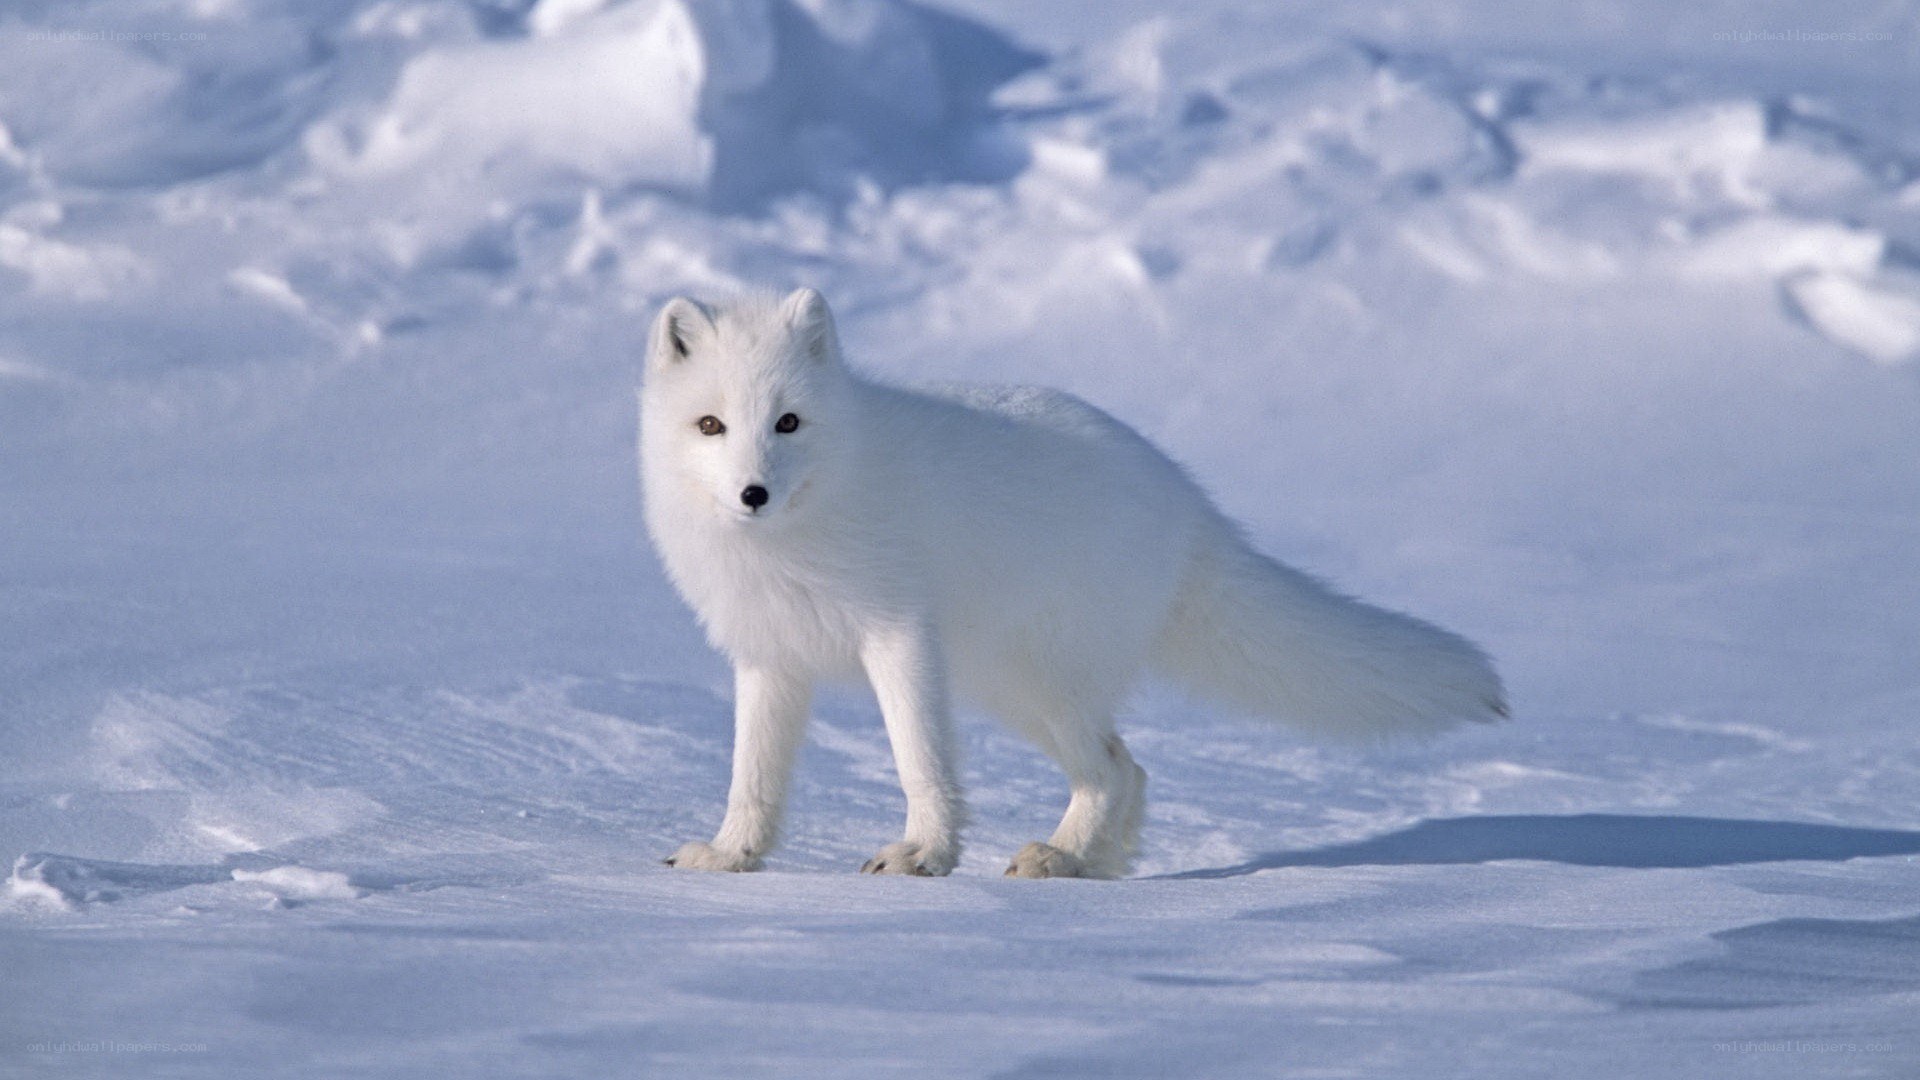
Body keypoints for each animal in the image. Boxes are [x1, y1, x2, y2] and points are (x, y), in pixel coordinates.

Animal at [642, 287, 1506, 879]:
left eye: (788, 422)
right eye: (711, 425)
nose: (753, 493)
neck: (798, 531)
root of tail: (1188, 502)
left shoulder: (898, 635)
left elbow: (920, 760)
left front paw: (923, 855)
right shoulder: (769, 657)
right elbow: (752, 777)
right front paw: (731, 856)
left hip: (1040, 681)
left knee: (1113, 767)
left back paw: (1061, 858)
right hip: (1012, 688)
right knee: (1130, 767)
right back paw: (1091, 864)